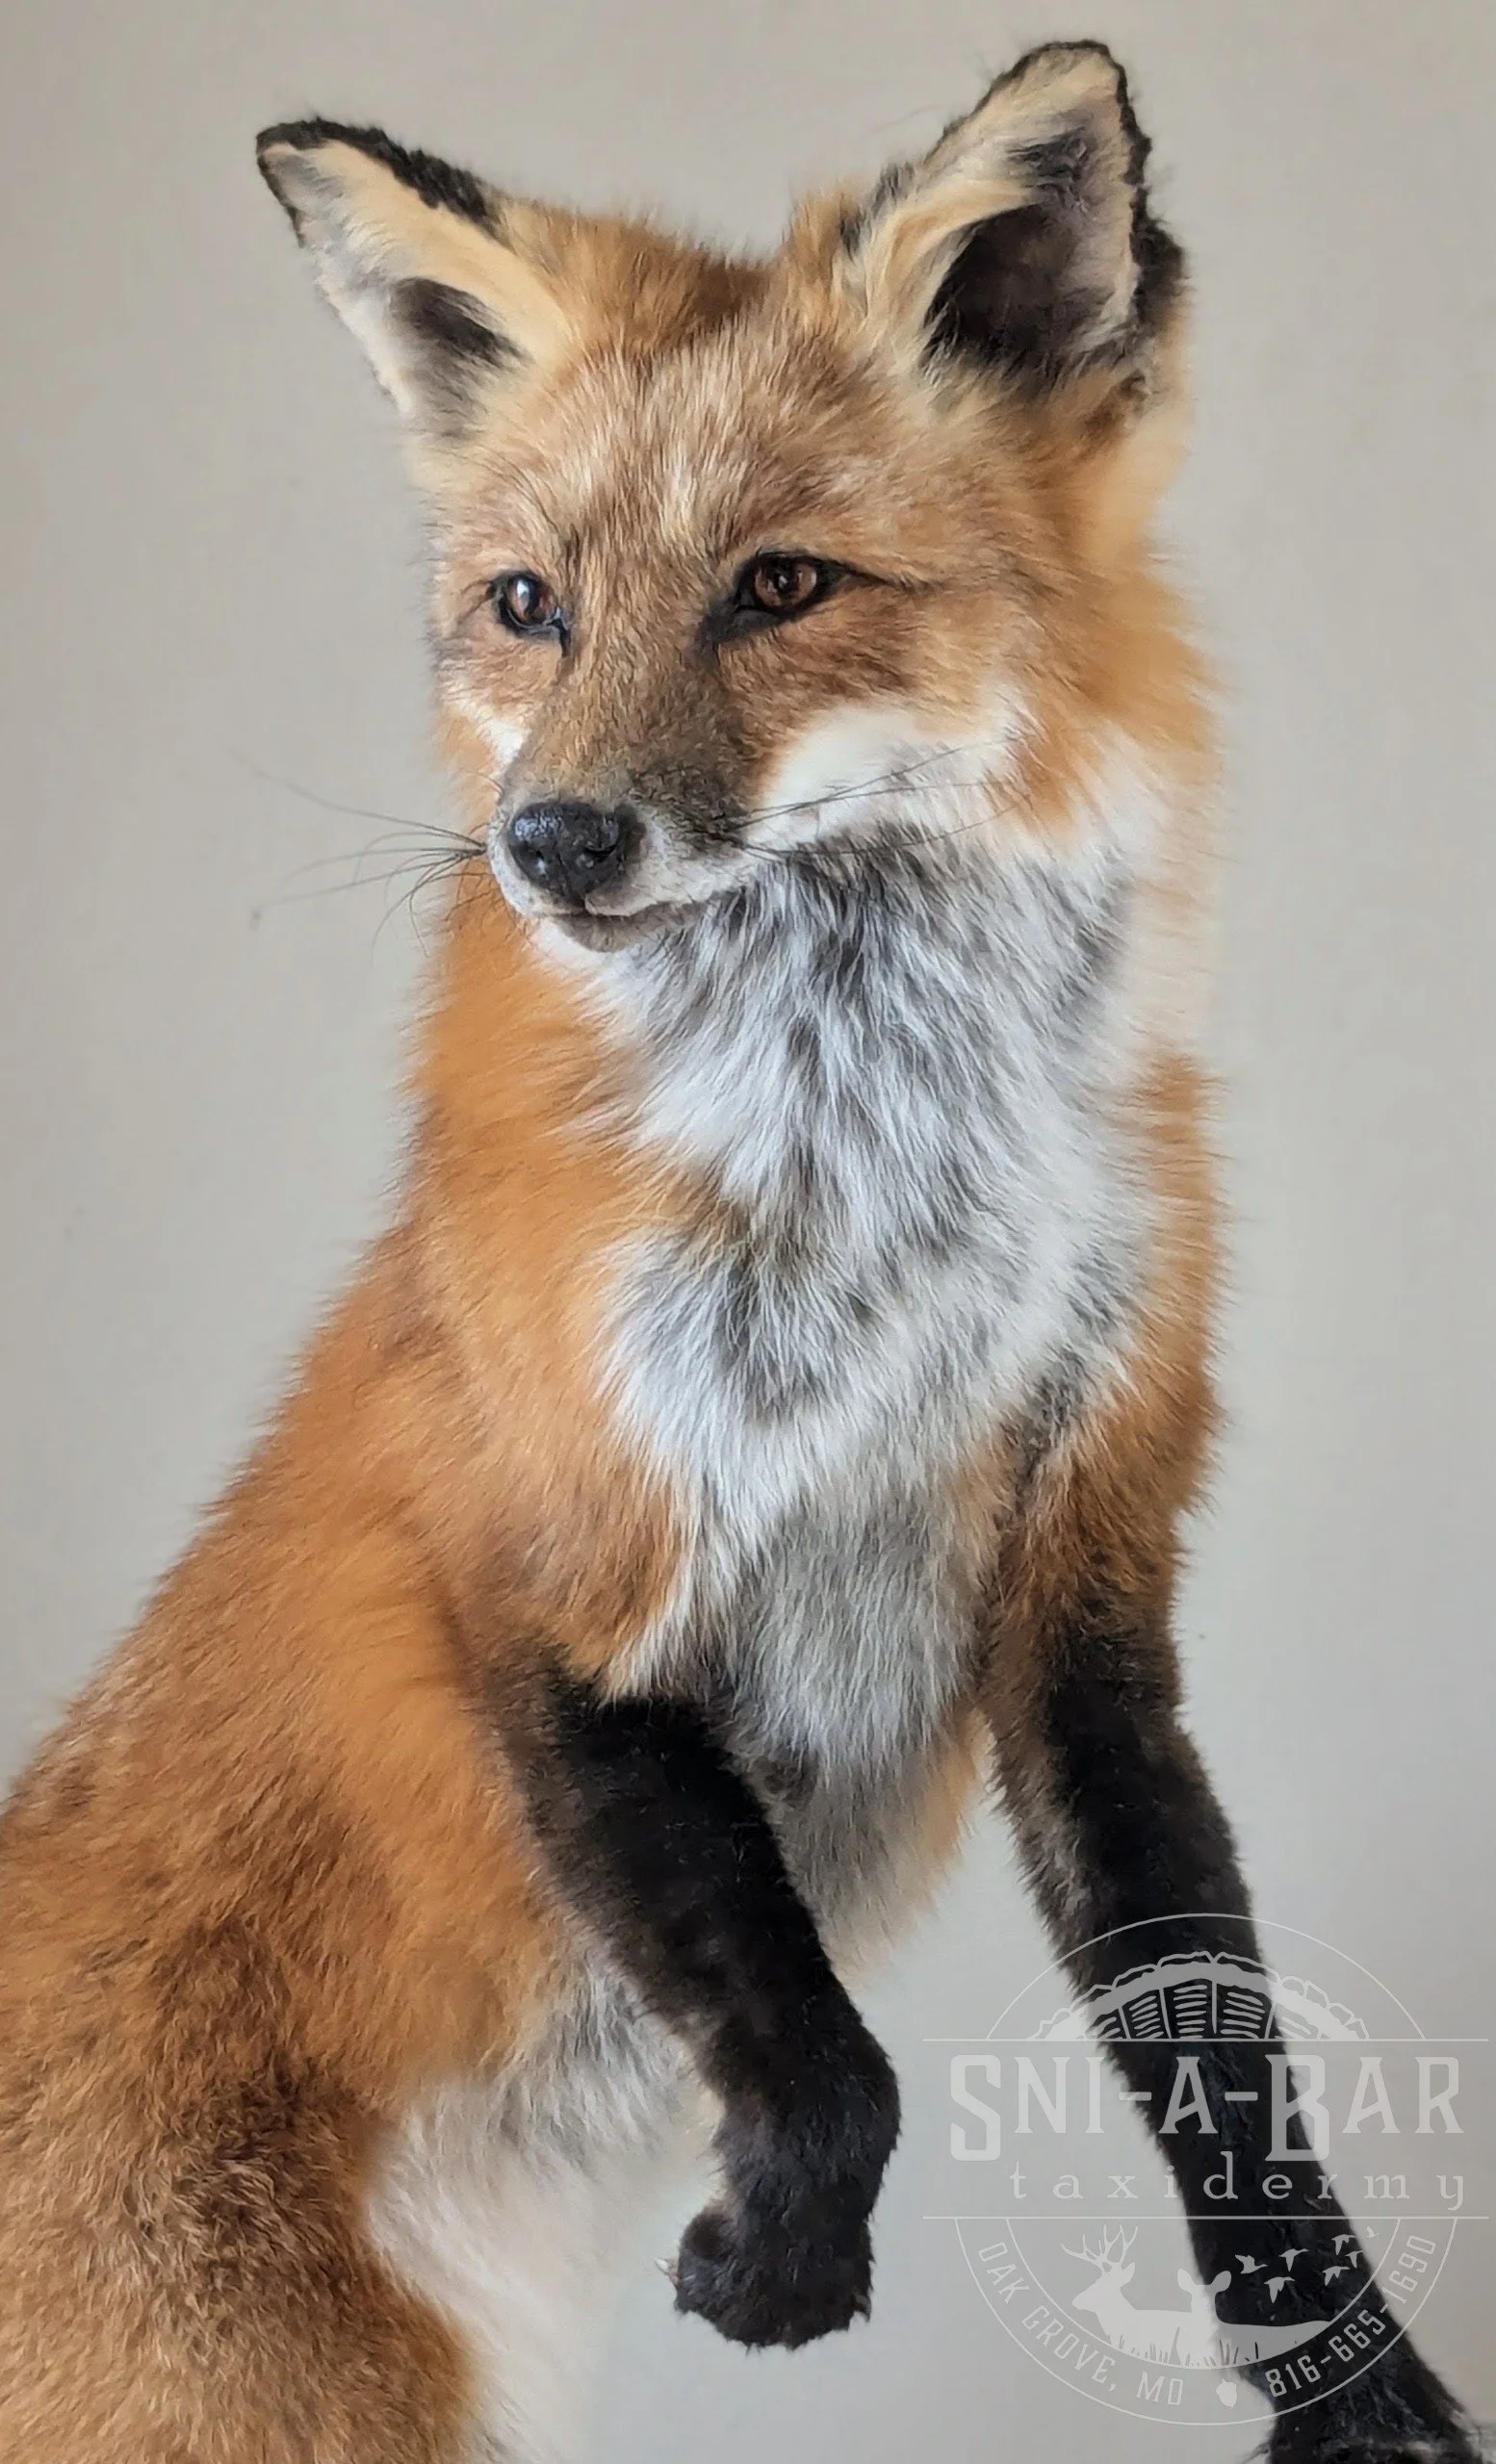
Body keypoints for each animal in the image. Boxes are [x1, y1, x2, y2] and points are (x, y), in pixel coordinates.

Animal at [0, 36, 1477, 2464]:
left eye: (783, 582)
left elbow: (1223, 2045)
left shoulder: (1085, 1567)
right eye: (529, 606)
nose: (551, 840)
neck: (877, 1192)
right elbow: (815, 2025)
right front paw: (789, 2239)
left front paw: (1364, 2393)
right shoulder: (547, 1559)